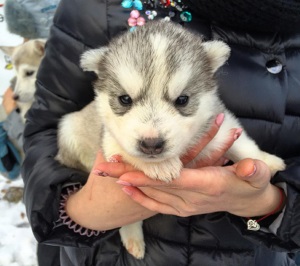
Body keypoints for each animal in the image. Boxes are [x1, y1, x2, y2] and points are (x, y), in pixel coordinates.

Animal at [56, 20, 286, 260]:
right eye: (125, 99)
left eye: (182, 100)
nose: (151, 144)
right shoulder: (110, 142)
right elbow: (126, 150)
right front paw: (162, 165)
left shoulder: (219, 123)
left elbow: (242, 144)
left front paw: (265, 161)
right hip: (69, 128)